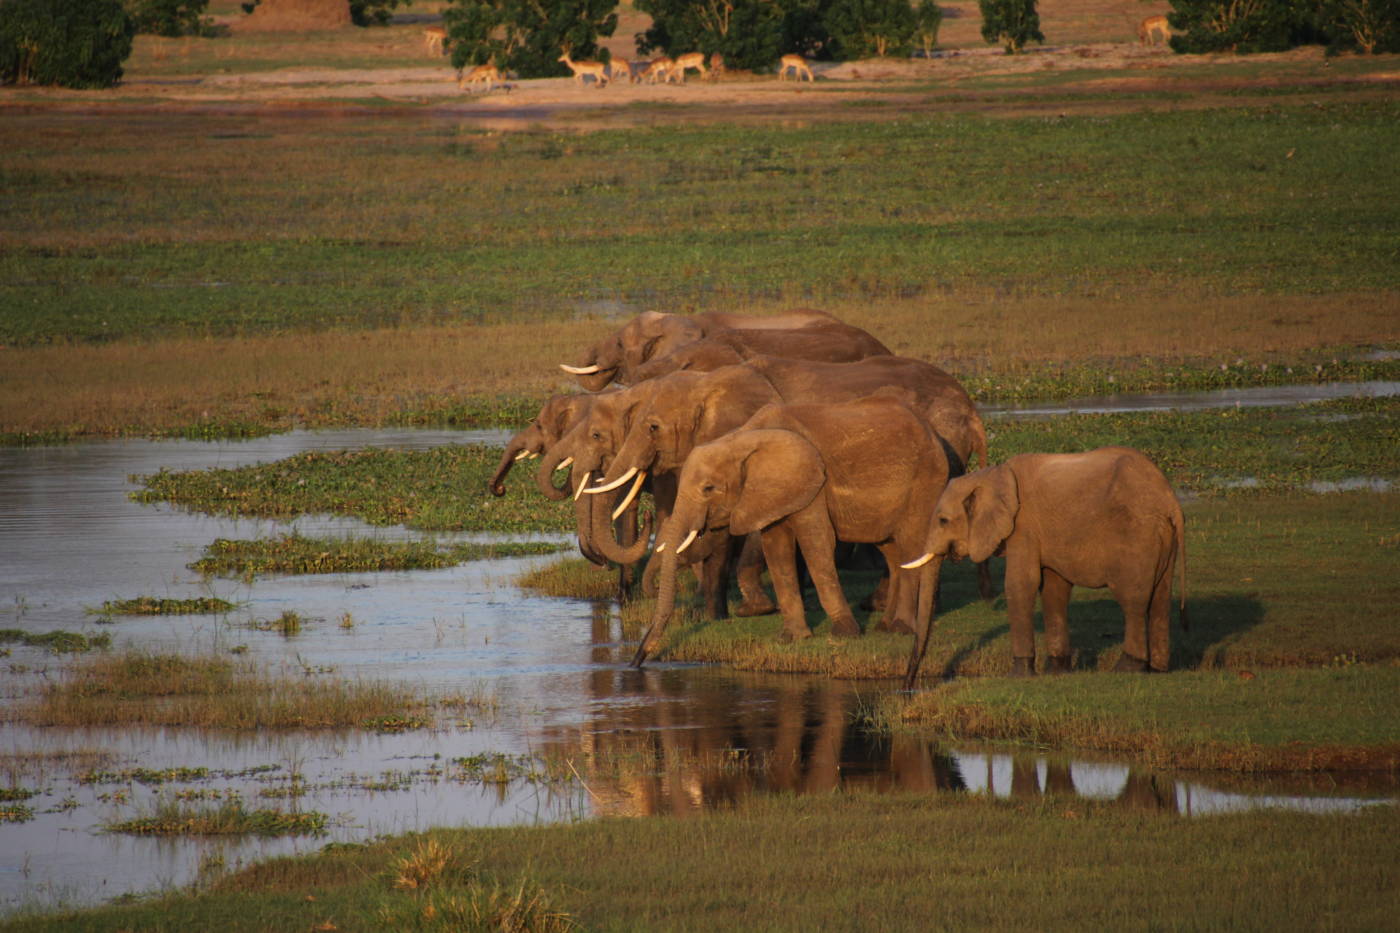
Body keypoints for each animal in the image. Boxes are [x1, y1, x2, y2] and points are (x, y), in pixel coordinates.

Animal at [630, 389, 957, 661]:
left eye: (709, 488)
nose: (638, 659)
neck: (742, 438)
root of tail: (932, 432)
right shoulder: (769, 494)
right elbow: (777, 550)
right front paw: (791, 638)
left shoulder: (812, 482)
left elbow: (816, 543)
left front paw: (845, 633)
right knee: (891, 552)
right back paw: (886, 627)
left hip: (926, 478)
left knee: (910, 546)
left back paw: (900, 628)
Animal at [901, 442, 1187, 683]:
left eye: (943, 521)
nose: (908, 686)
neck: (990, 475)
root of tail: (1169, 499)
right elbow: (1053, 590)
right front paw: (1056, 670)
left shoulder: (1022, 528)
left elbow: (1020, 586)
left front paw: (1018, 674)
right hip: (1163, 538)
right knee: (1160, 599)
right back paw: (1158, 670)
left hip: (1137, 536)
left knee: (1133, 601)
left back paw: (1127, 668)